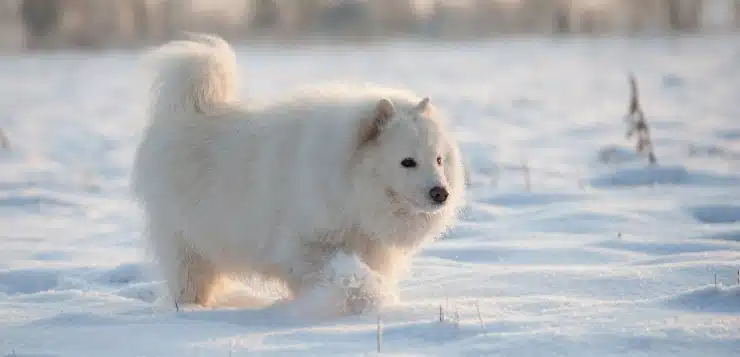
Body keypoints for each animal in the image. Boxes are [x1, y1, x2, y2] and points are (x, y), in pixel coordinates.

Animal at [131, 33, 466, 318]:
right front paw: (365, 299)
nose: (441, 193)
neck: (351, 189)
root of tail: (189, 111)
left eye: (438, 160)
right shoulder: (303, 245)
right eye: (407, 162)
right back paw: (189, 311)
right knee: (188, 280)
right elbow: (341, 273)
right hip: (186, 244)